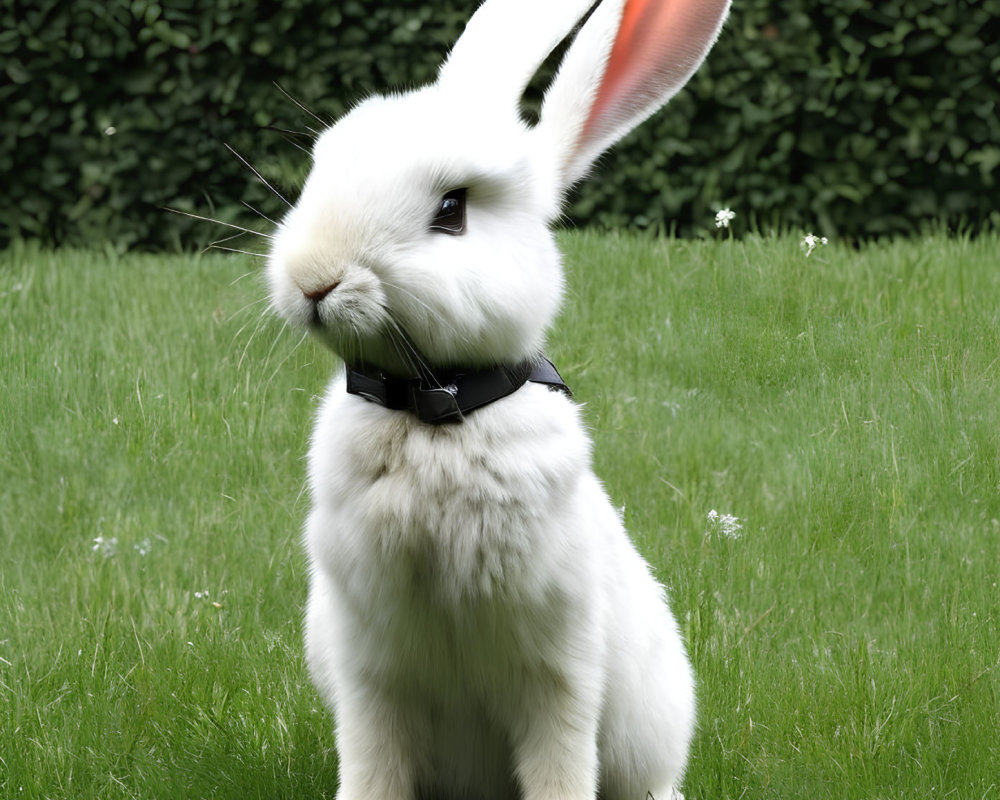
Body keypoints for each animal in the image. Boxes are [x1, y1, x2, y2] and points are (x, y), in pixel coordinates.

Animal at [266, 3, 732, 796]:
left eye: (452, 209)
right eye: (322, 166)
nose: (312, 279)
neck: (432, 406)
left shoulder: (559, 670)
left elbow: (560, 761)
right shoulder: (369, 676)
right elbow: (371, 765)